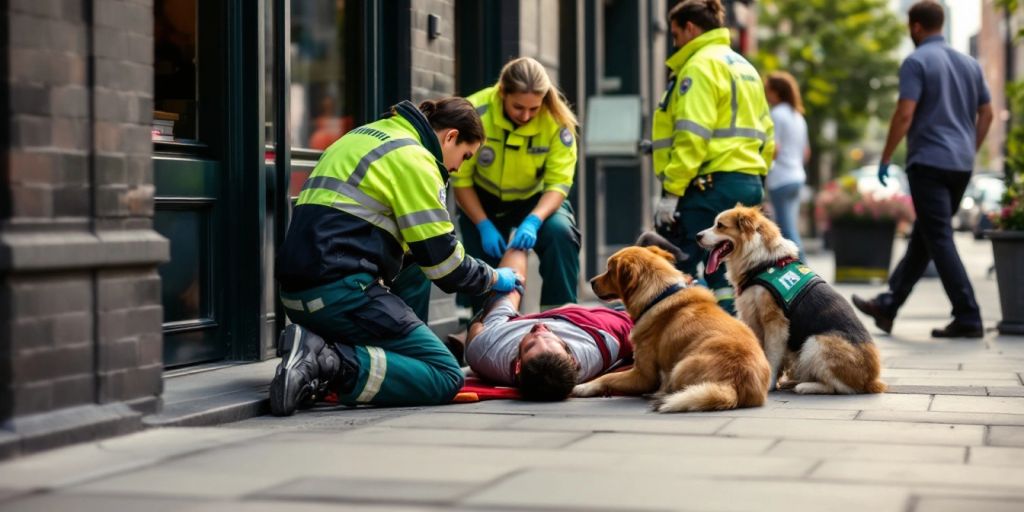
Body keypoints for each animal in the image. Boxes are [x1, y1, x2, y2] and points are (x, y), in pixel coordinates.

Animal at [569, 244, 770, 411]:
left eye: (609, 270)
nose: (591, 281)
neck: (659, 294)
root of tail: (734, 386)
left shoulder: (643, 376)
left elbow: (607, 377)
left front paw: (583, 387)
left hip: (679, 367)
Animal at [696, 205, 888, 393]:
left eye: (720, 225)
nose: (697, 236)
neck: (761, 263)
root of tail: (871, 381)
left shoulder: (775, 323)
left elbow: (772, 356)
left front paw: (769, 384)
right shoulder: (754, 319)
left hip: (815, 342)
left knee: (838, 387)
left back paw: (805, 386)